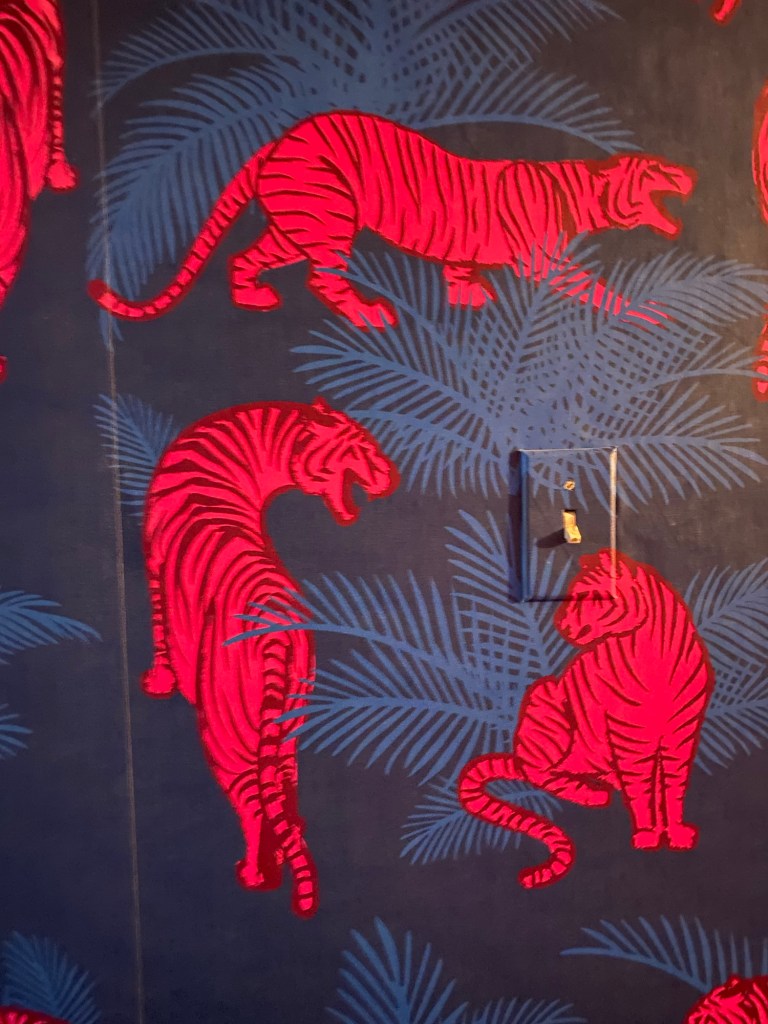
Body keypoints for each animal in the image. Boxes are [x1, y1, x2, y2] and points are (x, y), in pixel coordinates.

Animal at [87, 110, 695, 331]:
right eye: (655, 170)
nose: (688, 175)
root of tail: (279, 140)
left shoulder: (468, 250)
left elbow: (460, 271)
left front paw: (468, 299)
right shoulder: (545, 262)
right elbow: (599, 289)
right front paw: (649, 312)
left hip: (296, 226)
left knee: (245, 256)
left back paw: (253, 298)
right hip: (330, 218)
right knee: (322, 279)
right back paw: (367, 313)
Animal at [141, 397, 399, 919]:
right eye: (363, 446)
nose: (390, 476)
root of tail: (275, 629)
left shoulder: (153, 559)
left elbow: (158, 625)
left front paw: (159, 680)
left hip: (224, 731)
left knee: (251, 800)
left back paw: (256, 875)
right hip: (288, 718)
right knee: (279, 787)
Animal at [457, 549, 714, 890]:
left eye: (588, 597)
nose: (561, 624)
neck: (658, 653)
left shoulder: (682, 733)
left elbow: (674, 785)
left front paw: (677, 833)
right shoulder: (631, 735)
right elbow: (641, 788)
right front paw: (647, 833)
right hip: (547, 703)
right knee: (536, 772)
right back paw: (590, 793)